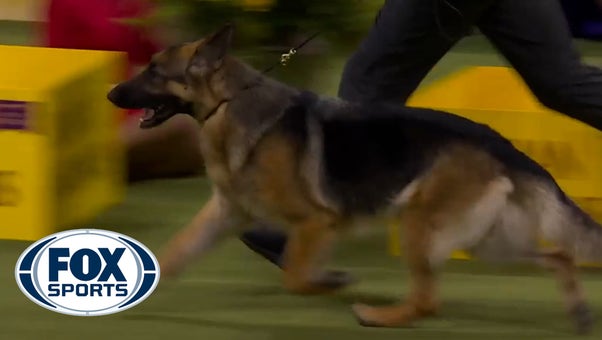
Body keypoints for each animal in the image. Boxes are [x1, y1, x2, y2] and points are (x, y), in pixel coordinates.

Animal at [108, 24, 600, 334]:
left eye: (155, 71)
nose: (111, 93)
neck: (229, 104)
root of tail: (500, 144)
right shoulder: (225, 214)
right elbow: (174, 253)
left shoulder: (317, 222)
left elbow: (296, 277)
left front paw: (330, 282)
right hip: (487, 241)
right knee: (558, 255)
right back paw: (577, 312)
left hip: (421, 227)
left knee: (428, 300)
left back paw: (379, 316)